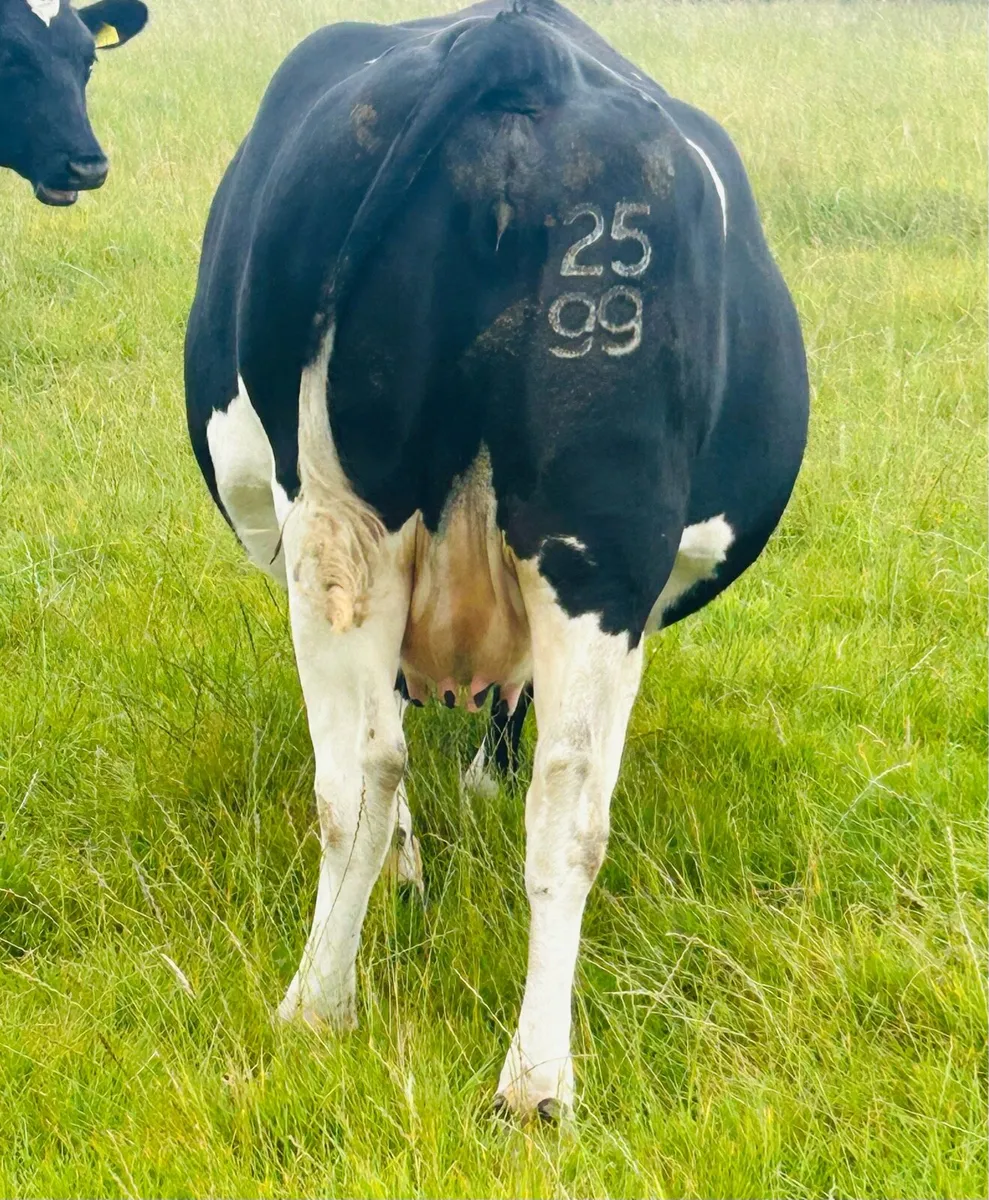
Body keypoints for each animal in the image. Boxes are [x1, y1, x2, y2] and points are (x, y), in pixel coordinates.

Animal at [185, 0, 809, 1119]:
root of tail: (521, 45)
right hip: (598, 544)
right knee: (565, 804)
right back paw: (535, 1080)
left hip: (347, 524)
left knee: (363, 774)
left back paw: (322, 1007)